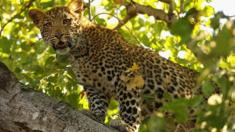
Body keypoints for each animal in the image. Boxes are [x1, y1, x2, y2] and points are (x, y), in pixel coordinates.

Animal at [27, 0, 200, 131]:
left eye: (66, 21)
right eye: (48, 25)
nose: (58, 35)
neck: (79, 52)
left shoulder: (127, 77)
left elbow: (129, 105)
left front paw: (127, 125)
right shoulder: (93, 85)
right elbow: (97, 102)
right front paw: (95, 115)